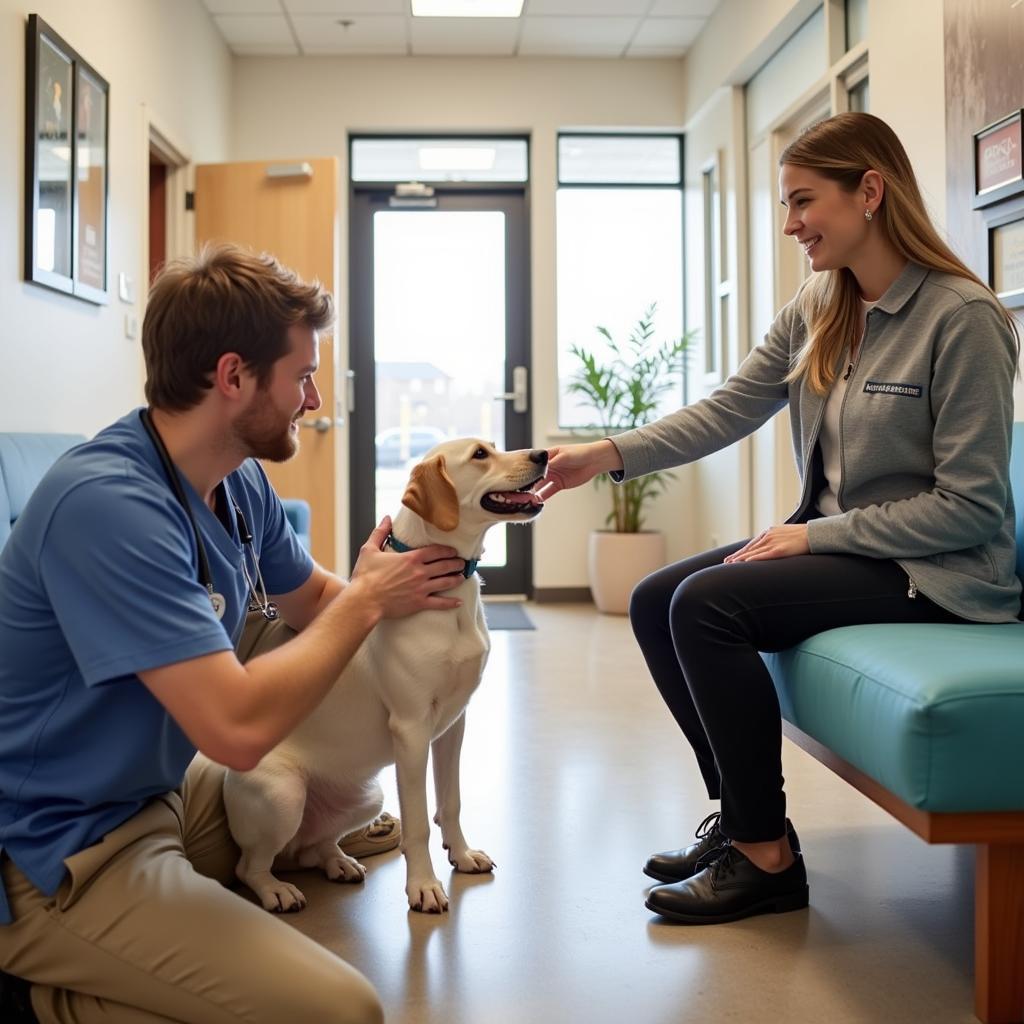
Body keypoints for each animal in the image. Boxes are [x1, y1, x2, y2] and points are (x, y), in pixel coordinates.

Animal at [223, 438, 544, 913]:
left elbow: (450, 802)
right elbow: (419, 823)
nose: (543, 455)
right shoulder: (411, 731)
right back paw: (277, 890)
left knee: (313, 847)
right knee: (251, 867)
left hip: (367, 799)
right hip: (284, 795)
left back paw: (338, 862)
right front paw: (424, 887)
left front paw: (462, 854)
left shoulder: (454, 723)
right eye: (480, 455)